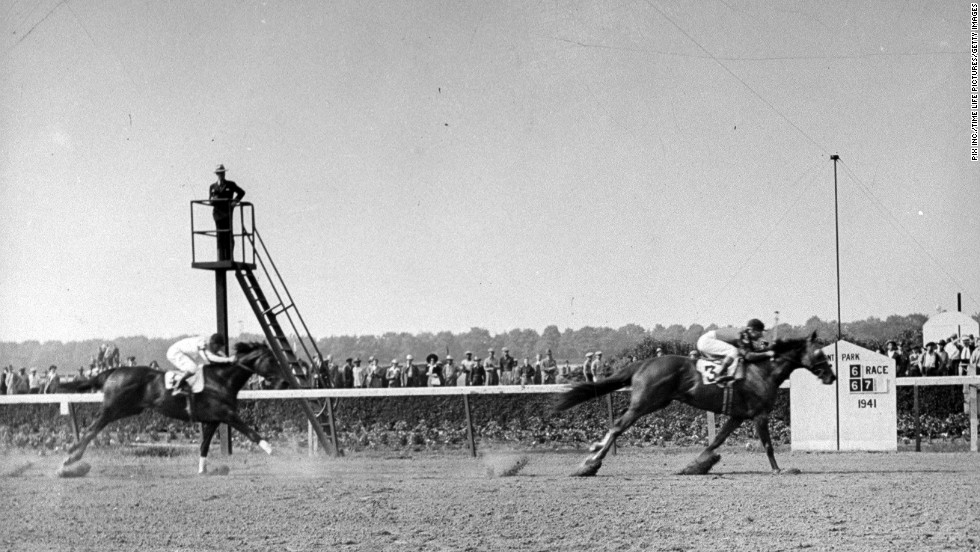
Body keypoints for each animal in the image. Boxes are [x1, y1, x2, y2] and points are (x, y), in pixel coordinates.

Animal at [61, 340, 286, 474]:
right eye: (271, 359)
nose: (283, 382)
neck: (221, 381)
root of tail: (113, 371)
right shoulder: (228, 415)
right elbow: (252, 433)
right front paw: (277, 453)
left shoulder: (213, 420)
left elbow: (204, 445)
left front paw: (202, 470)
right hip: (113, 407)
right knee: (93, 427)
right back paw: (70, 456)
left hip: (128, 409)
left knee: (95, 427)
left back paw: (71, 456)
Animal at [552, 332, 836, 478]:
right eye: (820, 354)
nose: (831, 377)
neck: (763, 370)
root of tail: (644, 362)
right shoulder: (759, 415)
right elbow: (767, 445)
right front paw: (779, 469)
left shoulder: (737, 416)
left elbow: (716, 440)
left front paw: (696, 465)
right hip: (646, 403)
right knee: (618, 427)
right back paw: (590, 464)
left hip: (655, 402)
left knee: (616, 426)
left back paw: (593, 451)